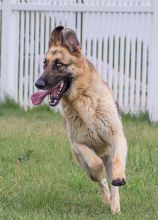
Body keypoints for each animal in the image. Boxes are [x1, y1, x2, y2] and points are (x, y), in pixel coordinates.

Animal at [30, 26, 127, 213]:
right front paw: (99, 174)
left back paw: (115, 206)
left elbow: (118, 160)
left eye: (59, 64)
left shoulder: (117, 136)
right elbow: (95, 165)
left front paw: (118, 178)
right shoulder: (78, 144)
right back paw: (107, 198)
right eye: (45, 63)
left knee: (113, 180)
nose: (38, 84)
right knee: (100, 179)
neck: (83, 98)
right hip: (80, 159)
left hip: (108, 153)